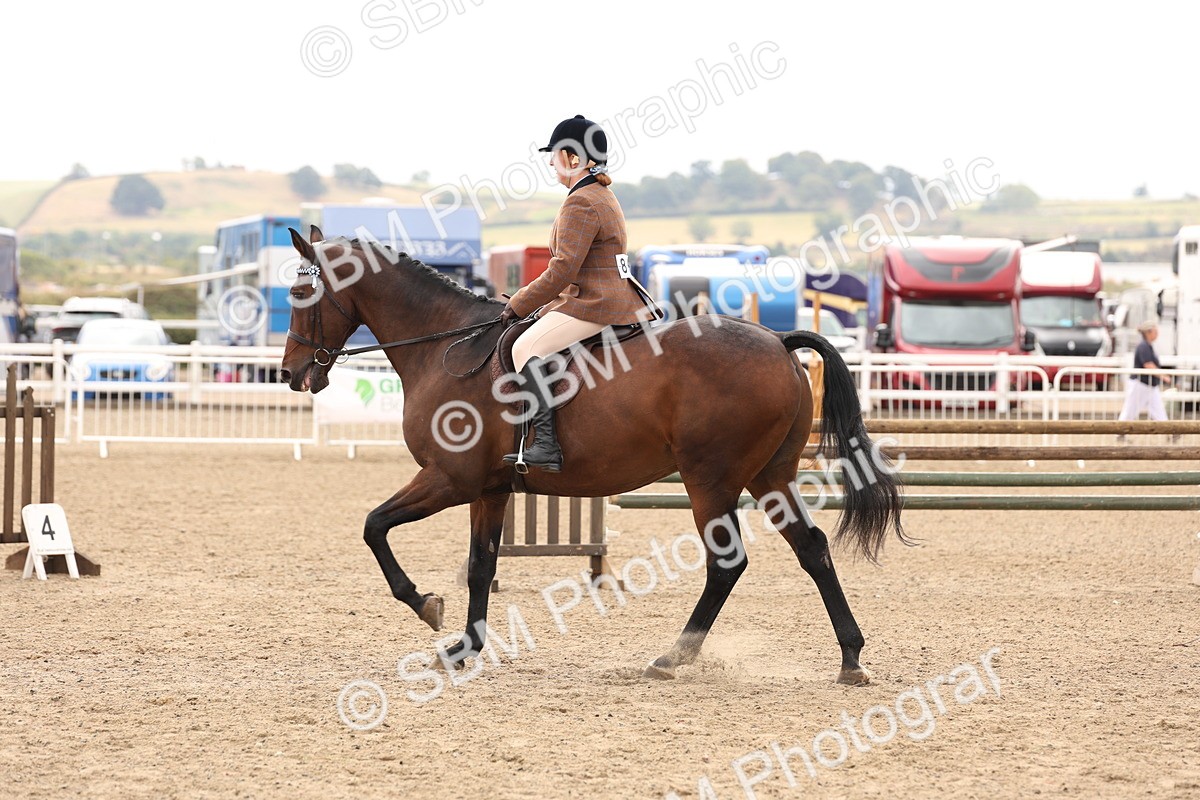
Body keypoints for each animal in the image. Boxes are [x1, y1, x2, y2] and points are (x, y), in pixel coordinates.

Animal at [279, 226, 905, 684]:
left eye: (300, 294)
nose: (291, 374)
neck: (446, 349)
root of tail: (777, 340)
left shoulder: (449, 479)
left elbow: (374, 526)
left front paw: (426, 605)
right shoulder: (489, 490)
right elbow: (482, 566)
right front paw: (465, 647)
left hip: (711, 480)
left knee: (727, 564)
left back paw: (671, 658)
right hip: (769, 476)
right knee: (813, 549)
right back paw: (851, 659)